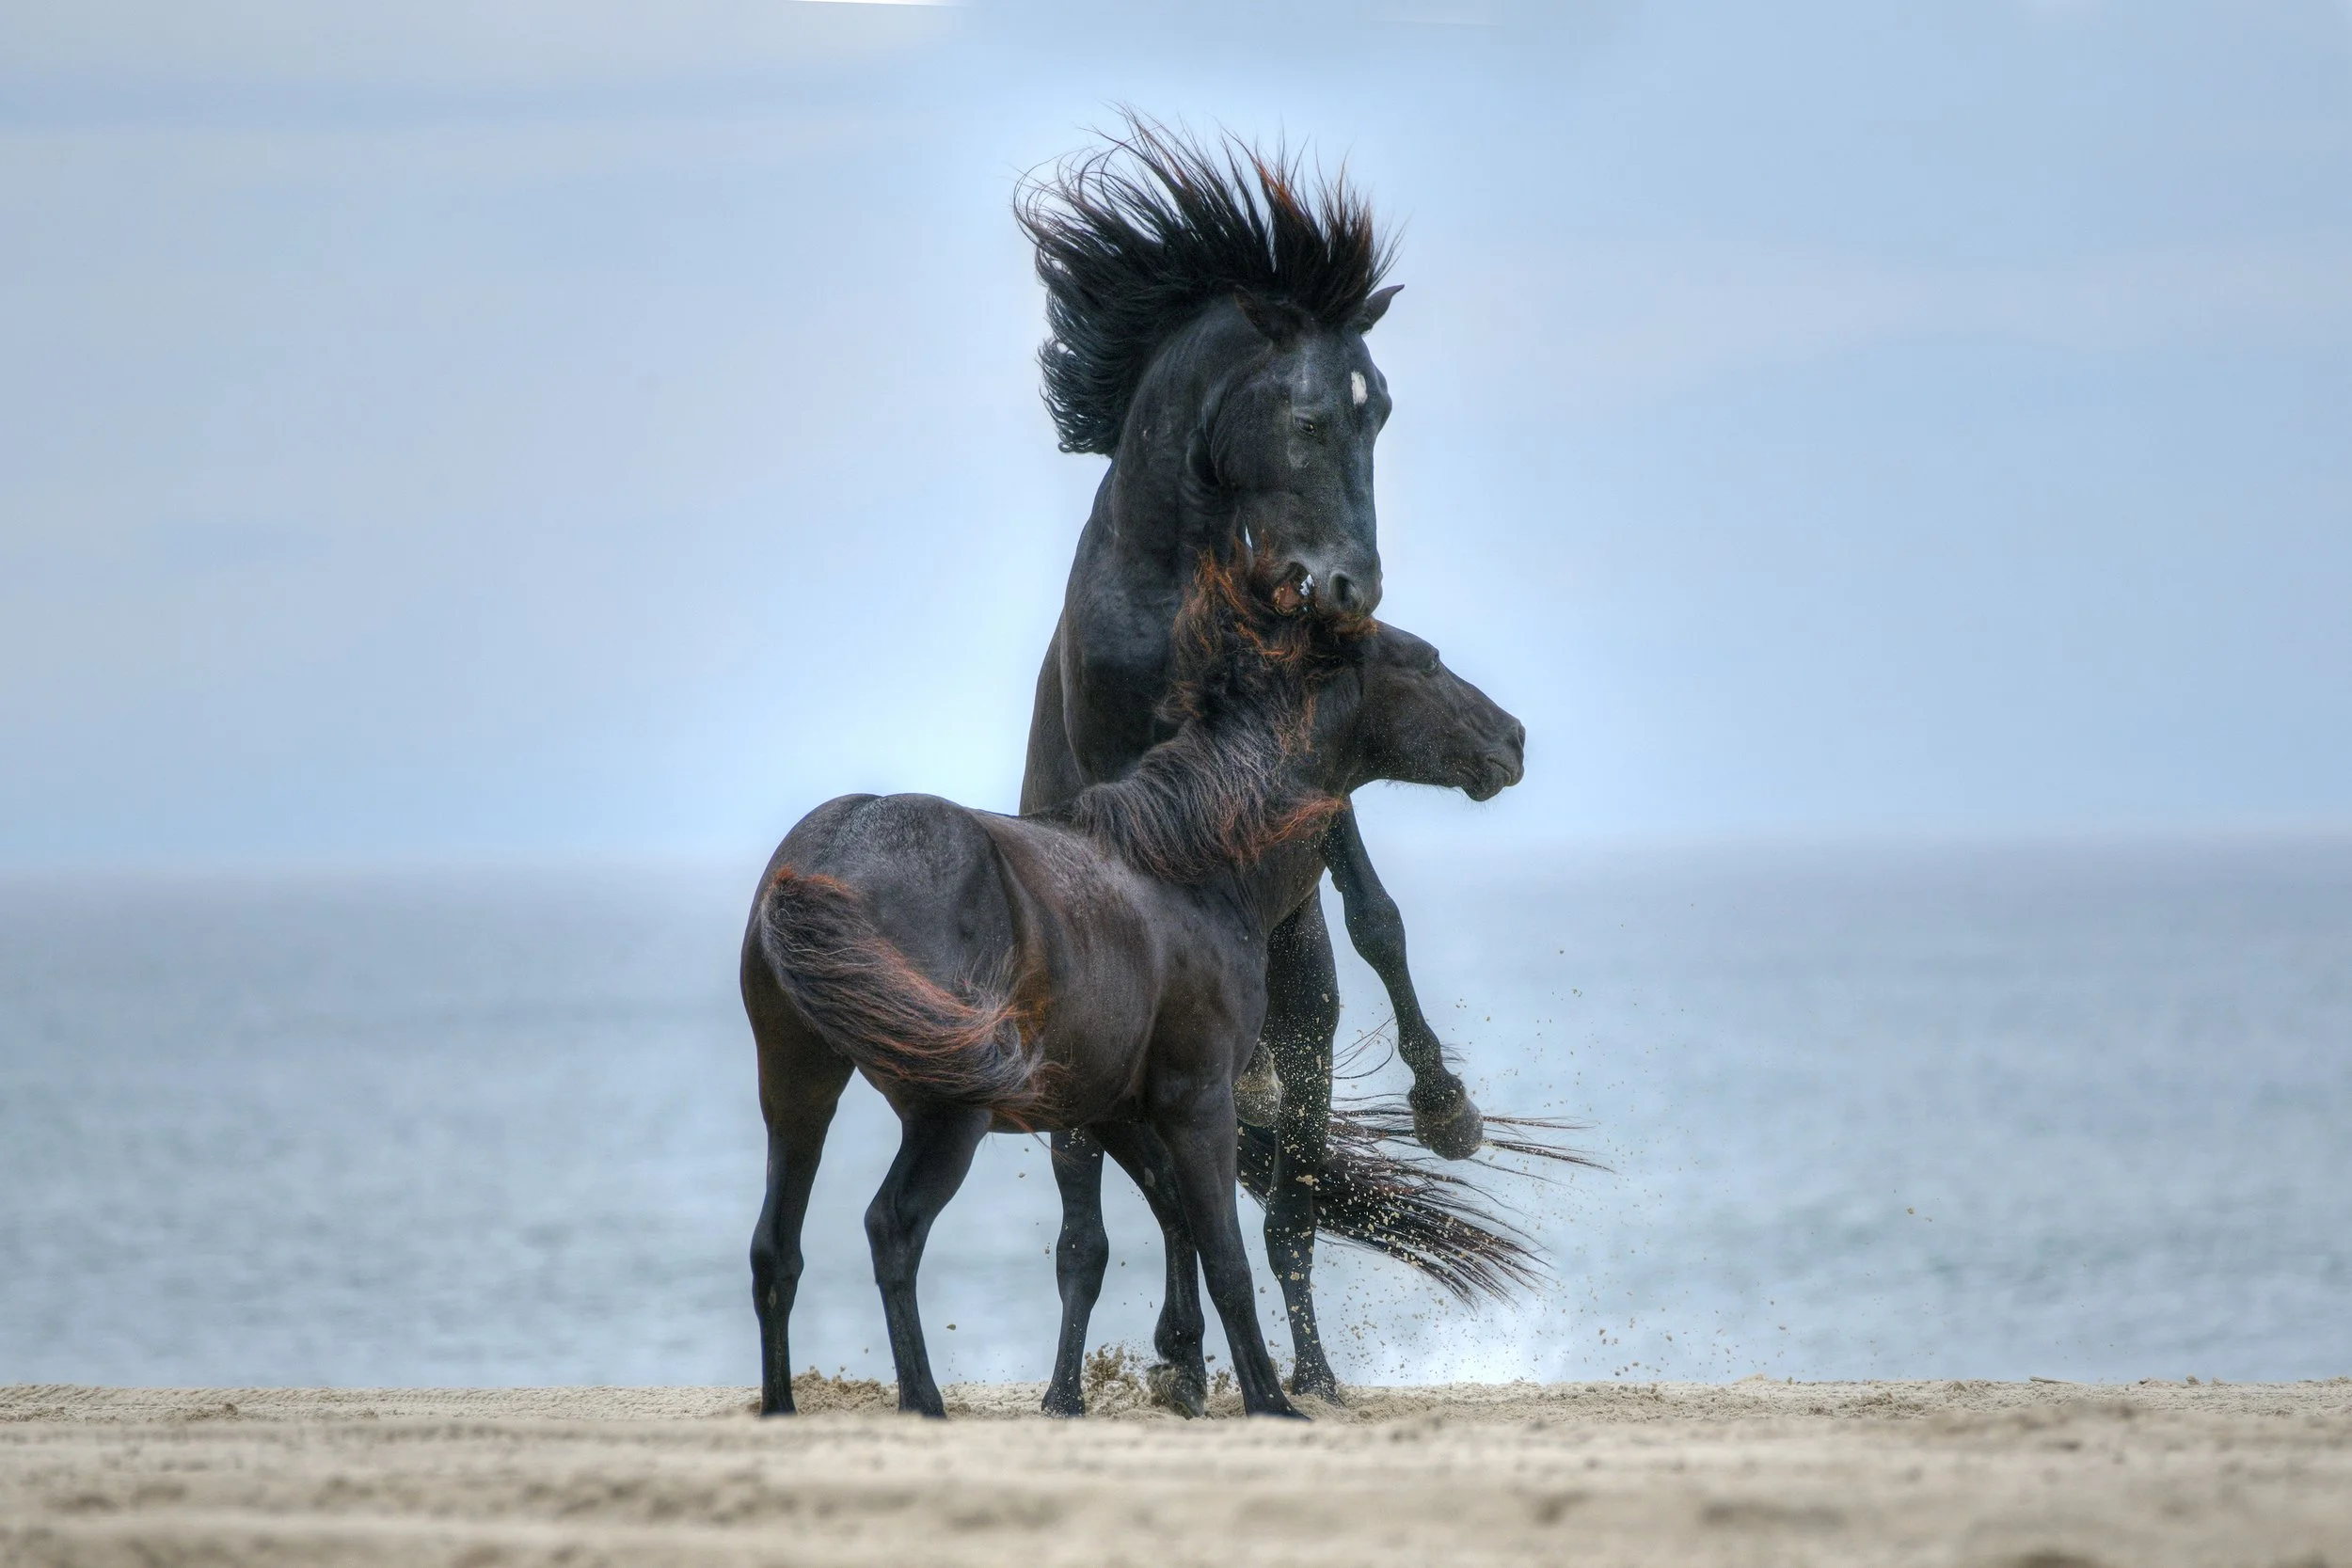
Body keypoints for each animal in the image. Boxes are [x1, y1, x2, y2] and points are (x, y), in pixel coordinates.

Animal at [742, 554, 1525, 1418]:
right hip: (948, 1116)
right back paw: (924, 1402)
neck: (1190, 863)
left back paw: (780, 1407)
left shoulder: (1112, 1105)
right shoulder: (1199, 1098)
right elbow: (1225, 1258)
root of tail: (828, 856)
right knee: (893, 1228)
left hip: (798, 1091)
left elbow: (1178, 1222)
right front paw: (1268, 1401)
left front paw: (1181, 1372)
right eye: (1427, 662)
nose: (1515, 737)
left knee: (776, 1250)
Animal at [1013, 117, 1490, 1405]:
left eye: (1383, 414)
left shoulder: (1301, 758)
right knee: (1146, 1215)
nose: (1349, 589)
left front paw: (1447, 1105)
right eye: (1311, 414)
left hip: (1303, 1031)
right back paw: (1179, 1359)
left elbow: (1374, 912)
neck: (1182, 587)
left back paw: (1302, 1369)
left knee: (1283, 1213)